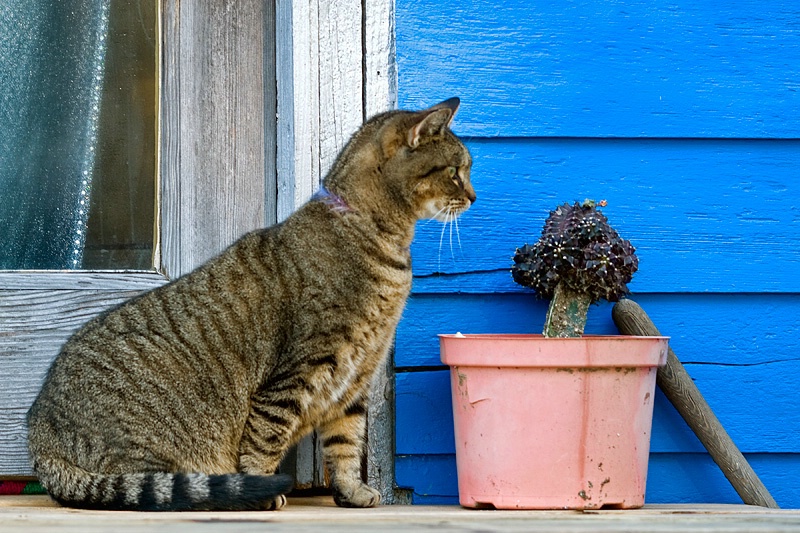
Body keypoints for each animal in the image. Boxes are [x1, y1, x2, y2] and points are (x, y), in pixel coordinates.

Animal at [25, 96, 476, 512]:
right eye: (456, 172)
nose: (473, 196)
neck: (381, 238)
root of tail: (39, 434)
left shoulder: (353, 383)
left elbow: (347, 445)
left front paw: (351, 492)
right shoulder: (295, 374)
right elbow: (265, 441)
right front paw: (262, 490)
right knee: (158, 486)